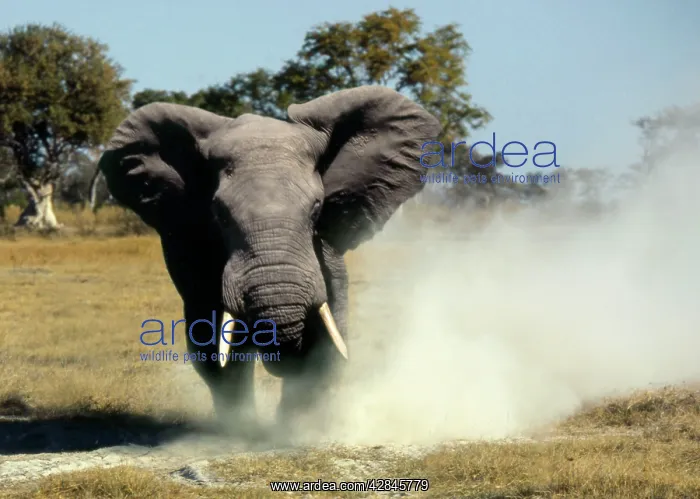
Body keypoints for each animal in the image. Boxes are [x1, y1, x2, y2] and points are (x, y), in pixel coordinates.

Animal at [98, 85, 441, 433]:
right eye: (219, 215)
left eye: (317, 208)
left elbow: (331, 327)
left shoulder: (324, 245)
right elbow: (210, 336)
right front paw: (243, 429)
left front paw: (299, 428)